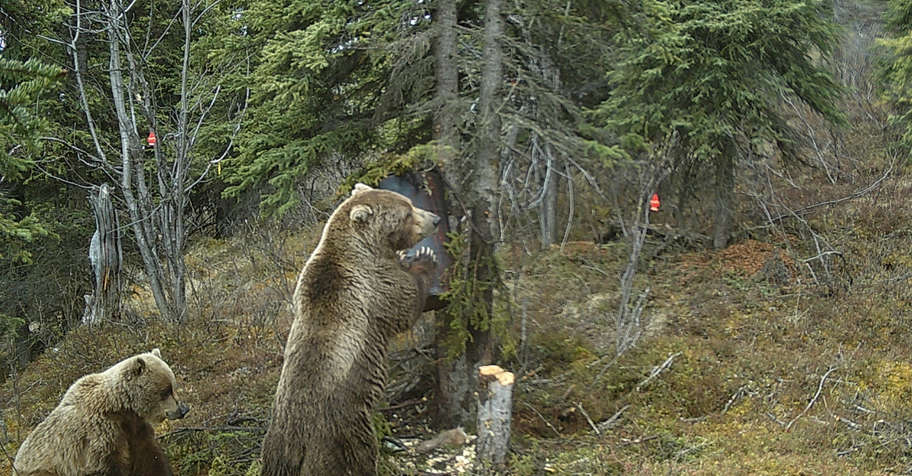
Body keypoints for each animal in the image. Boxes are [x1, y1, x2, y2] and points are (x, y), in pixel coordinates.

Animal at [13, 348, 190, 476]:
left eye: (173, 386)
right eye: (165, 391)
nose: (183, 409)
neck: (120, 407)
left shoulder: (134, 427)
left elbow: (150, 457)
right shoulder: (100, 434)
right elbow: (105, 466)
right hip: (42, 469)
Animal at [261, 182, 440, 476]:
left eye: (410, 203)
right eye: (407, 213)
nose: (435, 220)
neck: (363, 249)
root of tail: (296, 447)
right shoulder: (375, 286)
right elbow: (406, 303)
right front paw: (426, 258)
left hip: (276, 448)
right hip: (342, 433)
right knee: (359, 456)